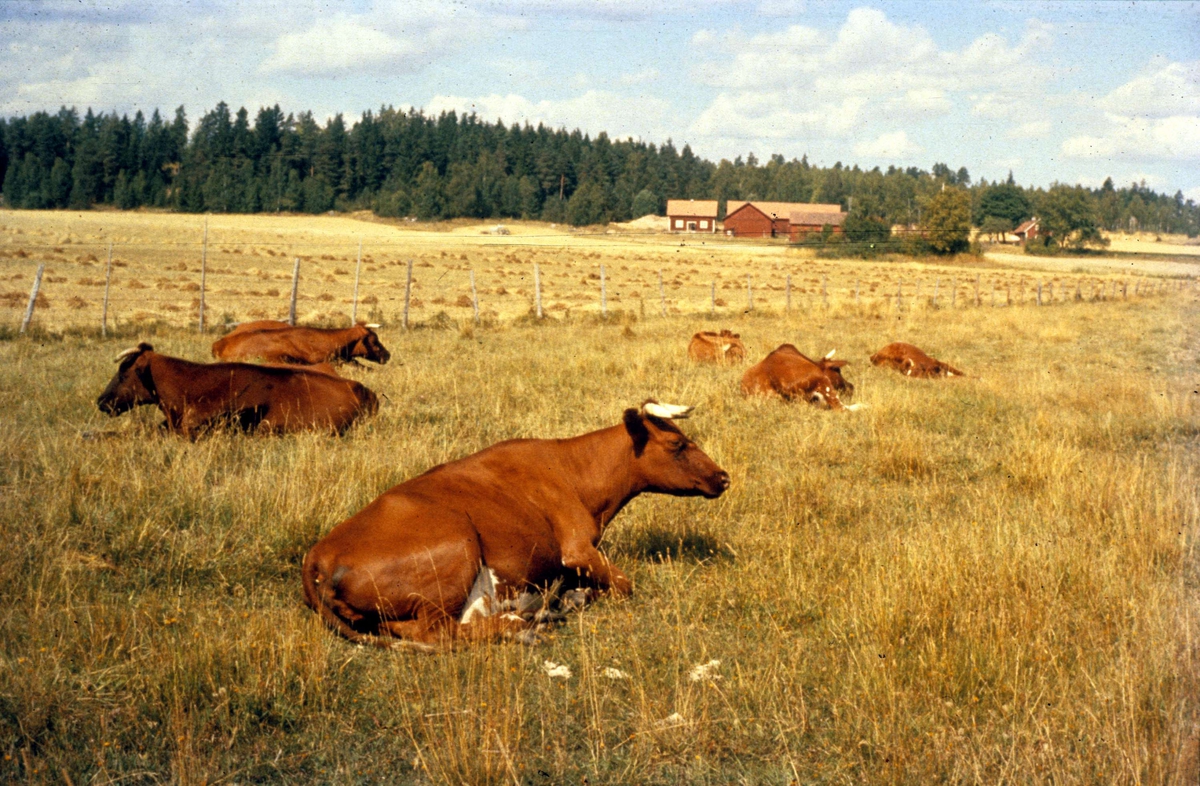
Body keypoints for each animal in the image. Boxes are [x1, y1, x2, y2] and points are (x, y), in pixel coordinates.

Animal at [302, 403, 729, 648]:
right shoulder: (578, 549)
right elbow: (624, 585)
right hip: (456, 550)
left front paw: (569, 599)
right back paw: (521, 624)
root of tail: (318, 553)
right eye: (677, 446)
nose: (723, 477)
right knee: (435, 632)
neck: (574, 472)